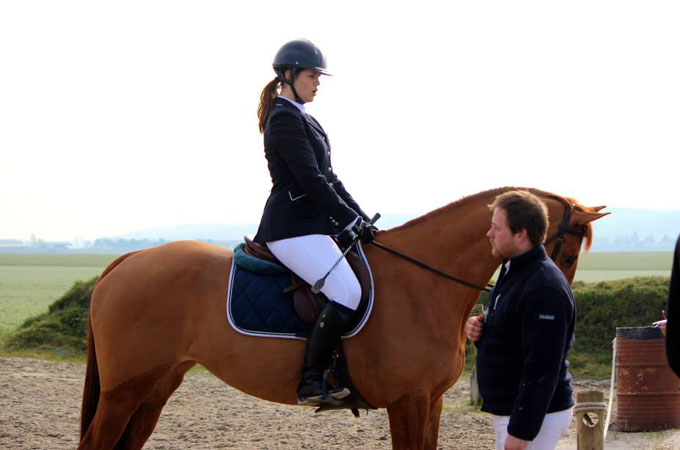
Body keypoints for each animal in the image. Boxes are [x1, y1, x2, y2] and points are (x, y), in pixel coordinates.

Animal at [77, 185, 608, 446]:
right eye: (568, 254)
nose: (563, 310)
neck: (423, 282)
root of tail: (128, 259)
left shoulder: (431, 401)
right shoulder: (408, 402)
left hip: (156, 384)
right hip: (124, 390)